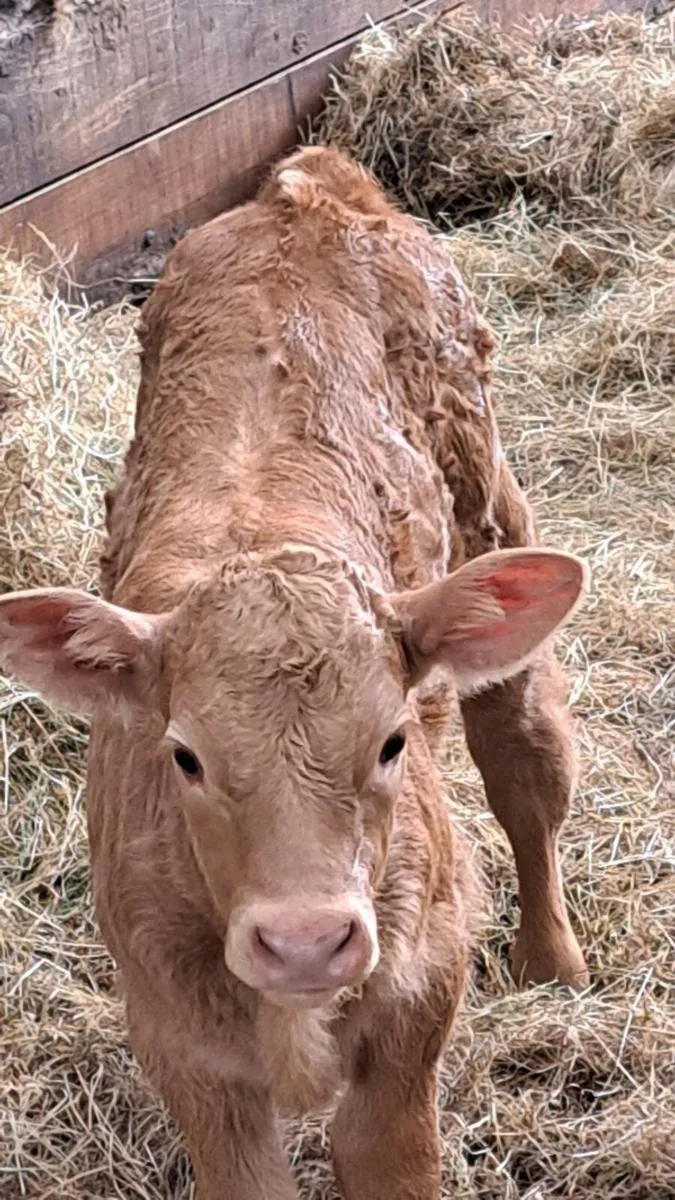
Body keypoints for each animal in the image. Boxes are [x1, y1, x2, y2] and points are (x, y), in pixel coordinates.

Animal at [0, 146, 589, 1200]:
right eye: (183, 757)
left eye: (391, 741)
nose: (307, 940)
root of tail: (308, 189)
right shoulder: (179, 1042)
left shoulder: (415, 1004)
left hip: (492, 507)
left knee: (527, 762)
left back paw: (553, 963)